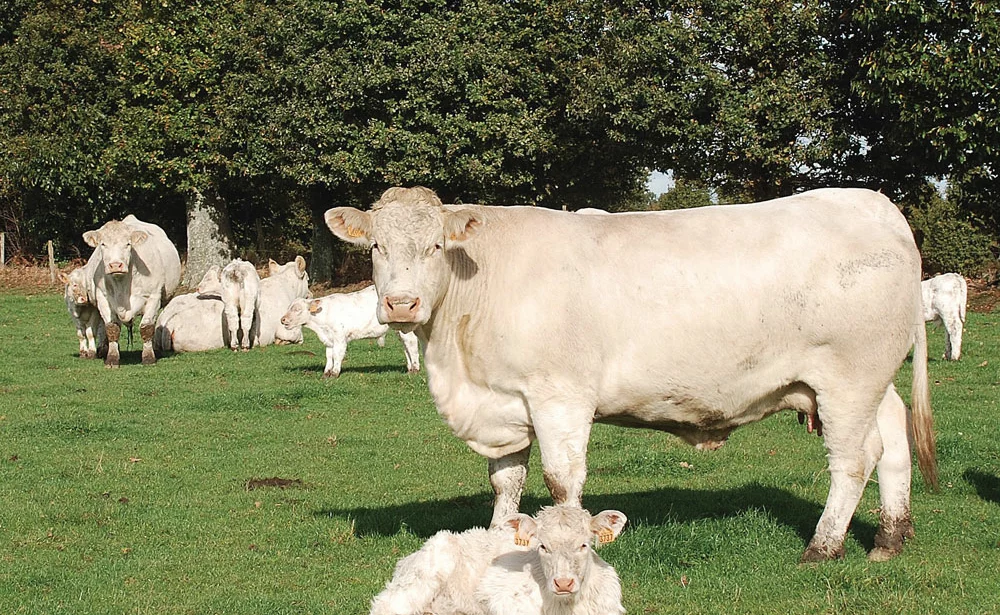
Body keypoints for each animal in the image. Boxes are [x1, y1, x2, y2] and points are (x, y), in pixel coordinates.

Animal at [83, 214, 181, 368]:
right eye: (103, 244)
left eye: (128, 244)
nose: (115, 265)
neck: (122, 286)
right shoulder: (103, 298)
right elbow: (111, 328)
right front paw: (112, 358)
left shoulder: (153, 297)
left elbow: (147, 328)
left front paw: (148, 357)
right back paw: (103, 350)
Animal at [280, 286, 420, 378]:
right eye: (289, 307)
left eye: (297, 309)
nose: (283, 319)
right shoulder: (328, 339)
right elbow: (329, 355)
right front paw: (326, 373)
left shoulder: (340, 337)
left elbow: (337, 354)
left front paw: (335, 373)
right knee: (406, 347)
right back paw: (409, 369)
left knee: (412, 344)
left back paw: (415, 370)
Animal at [328, 184, 936, 564]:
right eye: (376, 246)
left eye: (435, 245)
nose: (401, 304)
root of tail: (874, 204)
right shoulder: (502, 400)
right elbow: (506, 481)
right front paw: (499, 543)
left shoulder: (560, 396)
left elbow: (560, 481)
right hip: (871, 380)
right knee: (893, 438)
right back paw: (891, 535)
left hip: (848, 378)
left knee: (854, 460)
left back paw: (823, 547)